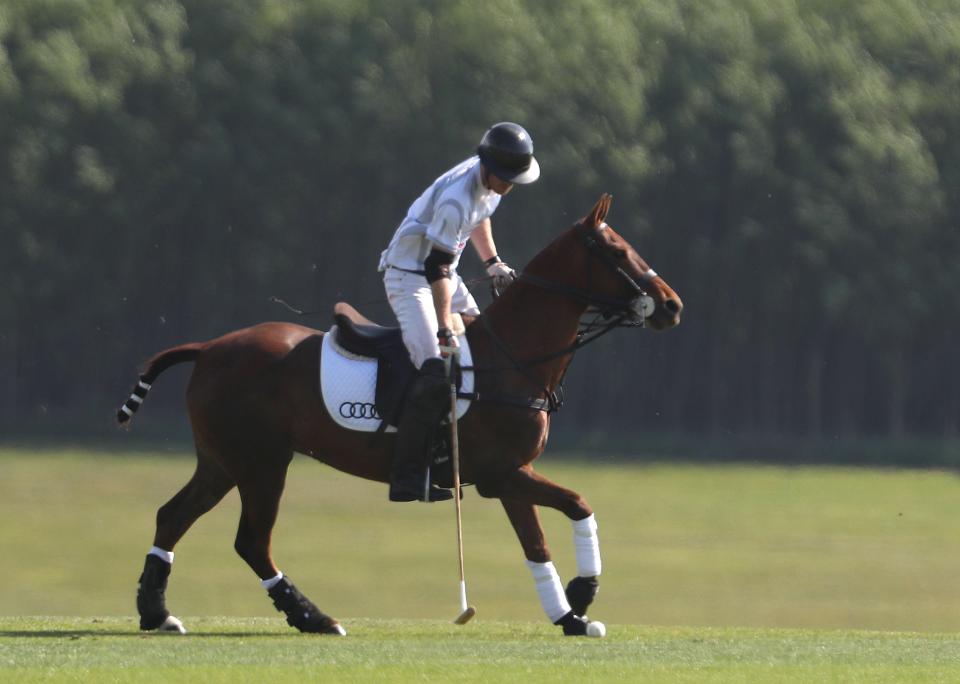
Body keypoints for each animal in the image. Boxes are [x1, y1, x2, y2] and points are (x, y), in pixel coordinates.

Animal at [118, 192, 684, 636]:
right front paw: (583, 592)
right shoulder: (501, 474)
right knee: (252, 541)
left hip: (221, 460)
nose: (672, 305)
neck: (511, 357)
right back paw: (313, 617)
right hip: (261, 463)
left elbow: (538, 542)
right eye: (617, 251)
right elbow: (578, 503)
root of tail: (208, 348)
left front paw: (570, 615)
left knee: (172, 516)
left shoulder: (512, 474)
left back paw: (157, 613)